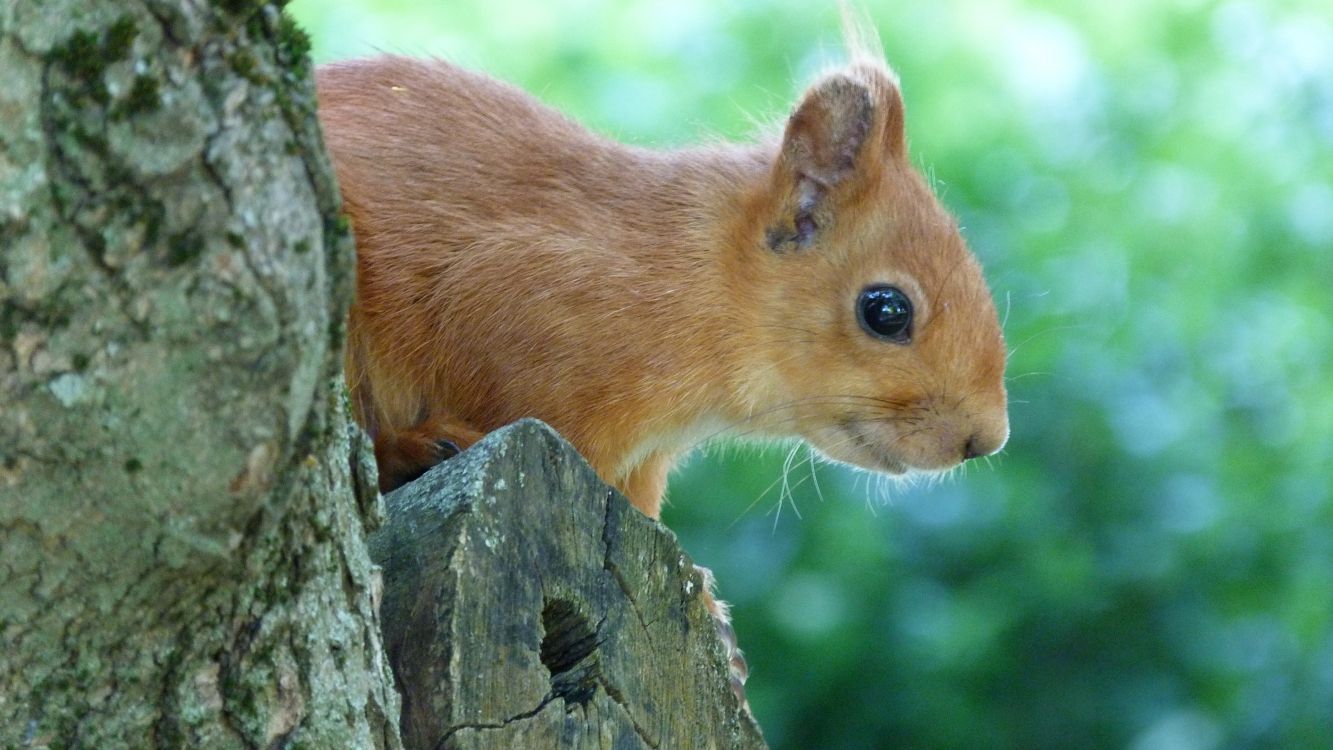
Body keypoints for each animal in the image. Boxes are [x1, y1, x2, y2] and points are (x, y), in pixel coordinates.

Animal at [317, 32, 1002, 708]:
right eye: (885, 310)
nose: (986, 440)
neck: (689, 280)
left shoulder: (640, 468)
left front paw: (710, 614)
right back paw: (413, 447)